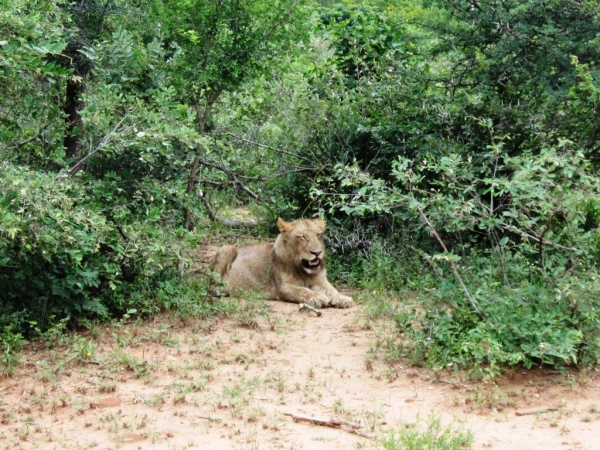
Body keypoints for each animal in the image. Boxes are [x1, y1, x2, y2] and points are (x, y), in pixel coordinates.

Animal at [210, 215, 354, 308]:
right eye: (302, 237)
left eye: (319, 235)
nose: (317, 253)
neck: (303, 270)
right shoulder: (284, 287)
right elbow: (302, 290)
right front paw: (318, 297)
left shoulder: (320, 281)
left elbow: (332, 290)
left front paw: (343, 298)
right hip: (226, 248)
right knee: (211, 286)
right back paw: (225, 290)